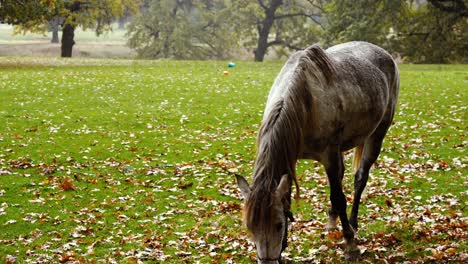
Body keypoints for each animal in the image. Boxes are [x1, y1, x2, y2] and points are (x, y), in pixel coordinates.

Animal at [236, 41, 400, 262]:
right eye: (250, 227)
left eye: (278, 225)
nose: (268, 262)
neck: (305, 101)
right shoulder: (292, 157)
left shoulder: (329, 155)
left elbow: (339, 198)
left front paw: (350, 245)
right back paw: (332, 223)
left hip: (377, 134)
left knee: (360, 179)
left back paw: (353, 224)